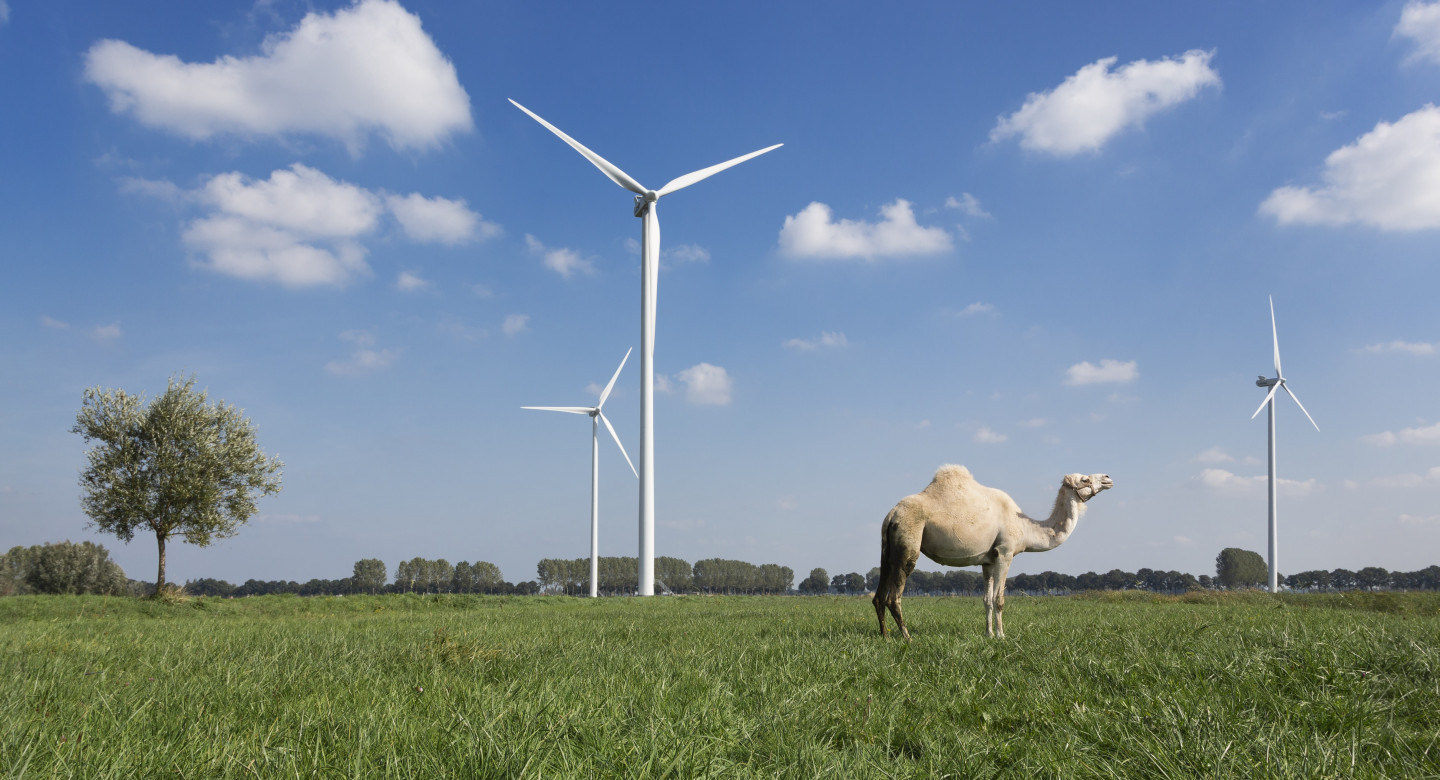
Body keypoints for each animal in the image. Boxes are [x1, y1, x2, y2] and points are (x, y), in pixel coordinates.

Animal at [864, 466, 1111, 641]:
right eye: (1085, 479)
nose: (1108, 478)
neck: (1025, 527)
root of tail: (892, 514)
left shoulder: (988, 561)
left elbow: (986, 600)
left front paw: (989, 634)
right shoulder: (1005, 553)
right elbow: (998, 599)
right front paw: (1002, 636)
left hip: (888, 548)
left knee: (879, 595)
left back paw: (885, 637)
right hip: (909, 537)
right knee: (894, 595)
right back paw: (908, 637)